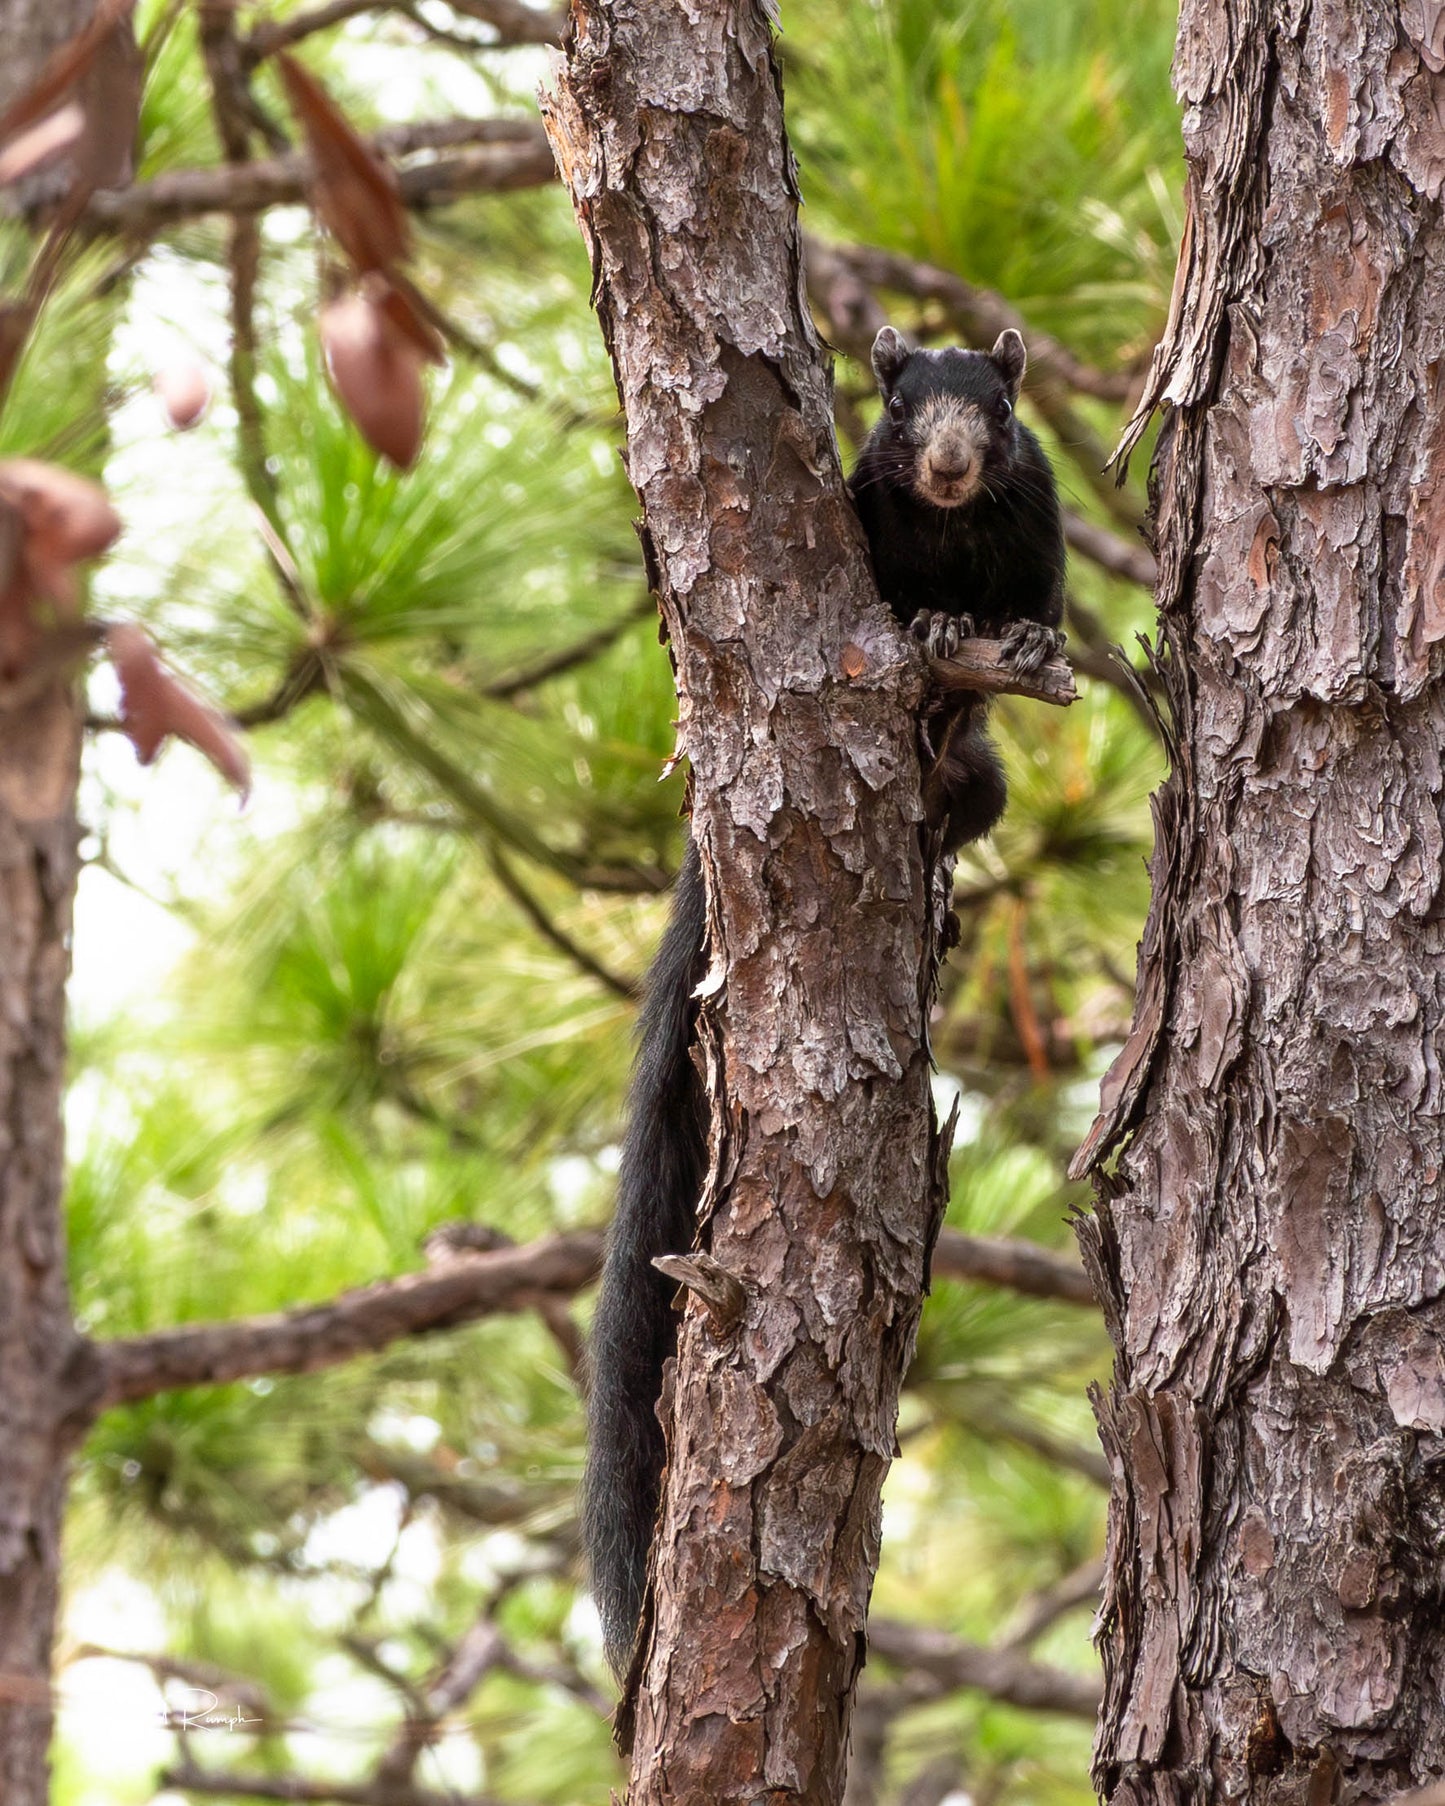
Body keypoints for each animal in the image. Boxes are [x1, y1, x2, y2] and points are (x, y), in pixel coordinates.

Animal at [582, 325, 1067, 1676]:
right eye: (898, 413)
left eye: (994, 408)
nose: (948, 465)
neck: (951, 530)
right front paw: (933, 615)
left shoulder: (1038, 532)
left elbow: (1040, 615)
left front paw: (995, 632)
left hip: (984, 776)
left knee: (977, 789)